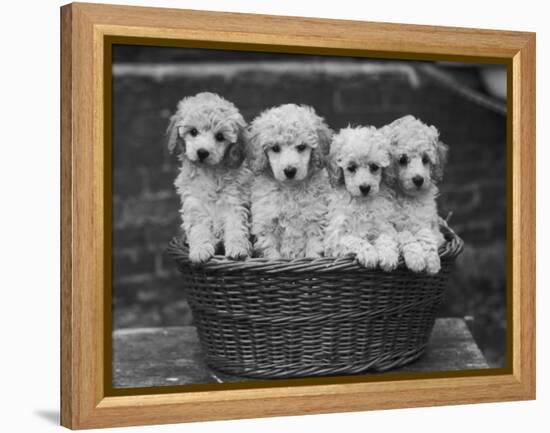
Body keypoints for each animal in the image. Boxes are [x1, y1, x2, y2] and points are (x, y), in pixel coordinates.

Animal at [166, 92, 252, 264]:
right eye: (193, 132)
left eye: (220, 136)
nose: (202, 152)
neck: (210, 173)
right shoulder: (194, 204)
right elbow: (198, 229)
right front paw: (200, 250)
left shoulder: (235, 202)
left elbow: (235, 226)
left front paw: (238, 249)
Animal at [249, 104, 332, 260]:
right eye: (275, 148)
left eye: (301, 147)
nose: (290, 170)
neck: (290, 189)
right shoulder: (266, 221)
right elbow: (271, 250)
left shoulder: (315, 218)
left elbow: (314, 246)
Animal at [326, 124, 398, 270]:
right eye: (351, 167)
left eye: (374, 167)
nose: (365, 187)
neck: (362, 203)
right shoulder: (335, 236)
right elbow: (354, 240)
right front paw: (369, 254)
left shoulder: (383, 223)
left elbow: (387, 237)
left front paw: (388, 256)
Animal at [386, 113, 450, 272]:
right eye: (402, 159)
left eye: (425, 159)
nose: (418, 179)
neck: (408, 198)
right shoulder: (390, 226)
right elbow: (405, 234)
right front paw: (416, 259)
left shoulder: (430, 225)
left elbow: (426, 235)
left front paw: (433, 261)